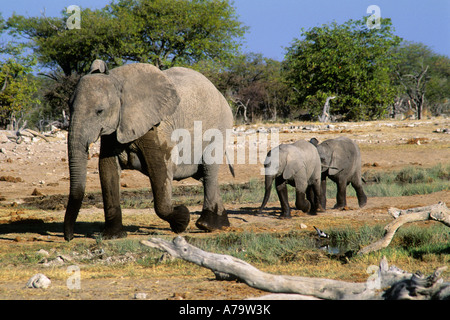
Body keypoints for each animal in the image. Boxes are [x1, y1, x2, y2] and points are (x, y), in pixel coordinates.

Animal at [65, 60, 234, 241]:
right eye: (69, 107)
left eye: (99, 111)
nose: (69, 237)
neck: (117, 80)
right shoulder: (114, 129)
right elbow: (107, 168)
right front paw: (113, 236)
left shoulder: (156, 126)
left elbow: (160, 170)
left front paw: (182, 219)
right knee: (205, 175)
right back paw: (219, 225)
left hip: (220, 126)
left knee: (209, 170)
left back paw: (206, 225)